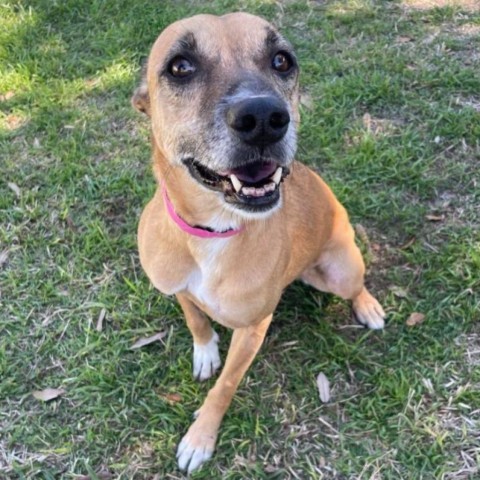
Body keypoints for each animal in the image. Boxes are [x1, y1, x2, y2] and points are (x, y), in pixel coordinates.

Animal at [131, 12, 386, 472]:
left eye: (281, 60)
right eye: (180, 66)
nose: (264, 116)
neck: (211, 232)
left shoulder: (252, 328)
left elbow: (225, 386)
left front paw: (200, 437)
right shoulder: (176, 287)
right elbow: (195, 317)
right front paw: (205, 350)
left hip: (339, 269)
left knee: (356, 284)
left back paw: (368, 306)